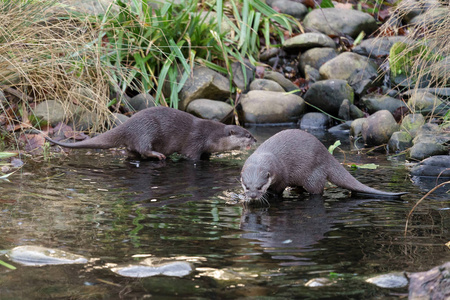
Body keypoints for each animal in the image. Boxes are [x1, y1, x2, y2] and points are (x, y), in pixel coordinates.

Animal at [46, 106, 256, 161]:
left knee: (132, 151)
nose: (254, 139)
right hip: (146, 130)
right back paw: (158, 155)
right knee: (144, 149)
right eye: (246, 134)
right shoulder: (194, 142)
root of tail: (128, 124)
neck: (211, 135)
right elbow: (191, 157)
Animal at [243, 129, 408, 202]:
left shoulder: (282, 176)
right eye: (246, 186)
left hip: (313, 176)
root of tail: (327, 155)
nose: (252, 196)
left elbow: (278, 191)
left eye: (259, 187)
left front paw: (270, 195)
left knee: (317, 191)